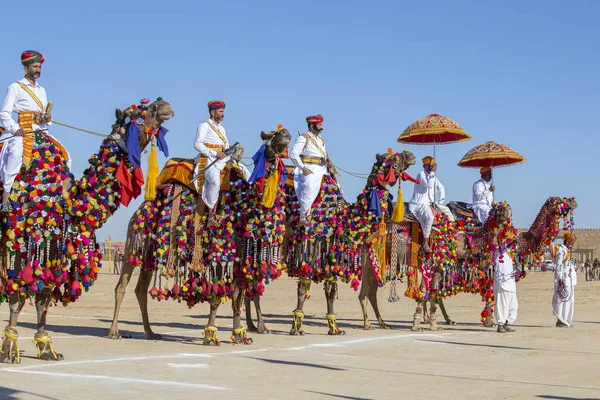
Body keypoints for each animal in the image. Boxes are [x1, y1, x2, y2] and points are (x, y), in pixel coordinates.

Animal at [0, 97, 175, 362]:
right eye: (136, 113)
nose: (164, 105)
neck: (67, 200)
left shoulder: (54, 245)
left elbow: (43, 297)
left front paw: (46, 348)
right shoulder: (23, 240)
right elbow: (16, 296)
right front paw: (9, 349)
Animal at [111, 127, 294, 344]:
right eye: (269, 136)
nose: (285, 133)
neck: (243, 206)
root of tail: (138, 211)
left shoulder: (239, 258)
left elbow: (238, 295)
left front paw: (239, 334)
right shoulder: (219, 253)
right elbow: (219, 296)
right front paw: (210, 334)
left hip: (149, 253)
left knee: (140, 290)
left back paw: (150, 332)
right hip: (134, 243)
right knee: (121, 286)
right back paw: (114, 331)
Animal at [284, 149, 418, 334]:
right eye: (392, 159)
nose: (410, 154)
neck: (343, 220)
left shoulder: (333, 258)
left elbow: (330, 289)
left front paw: (334, 328)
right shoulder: (312, 252)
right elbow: (304, 287)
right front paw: (296, 328)